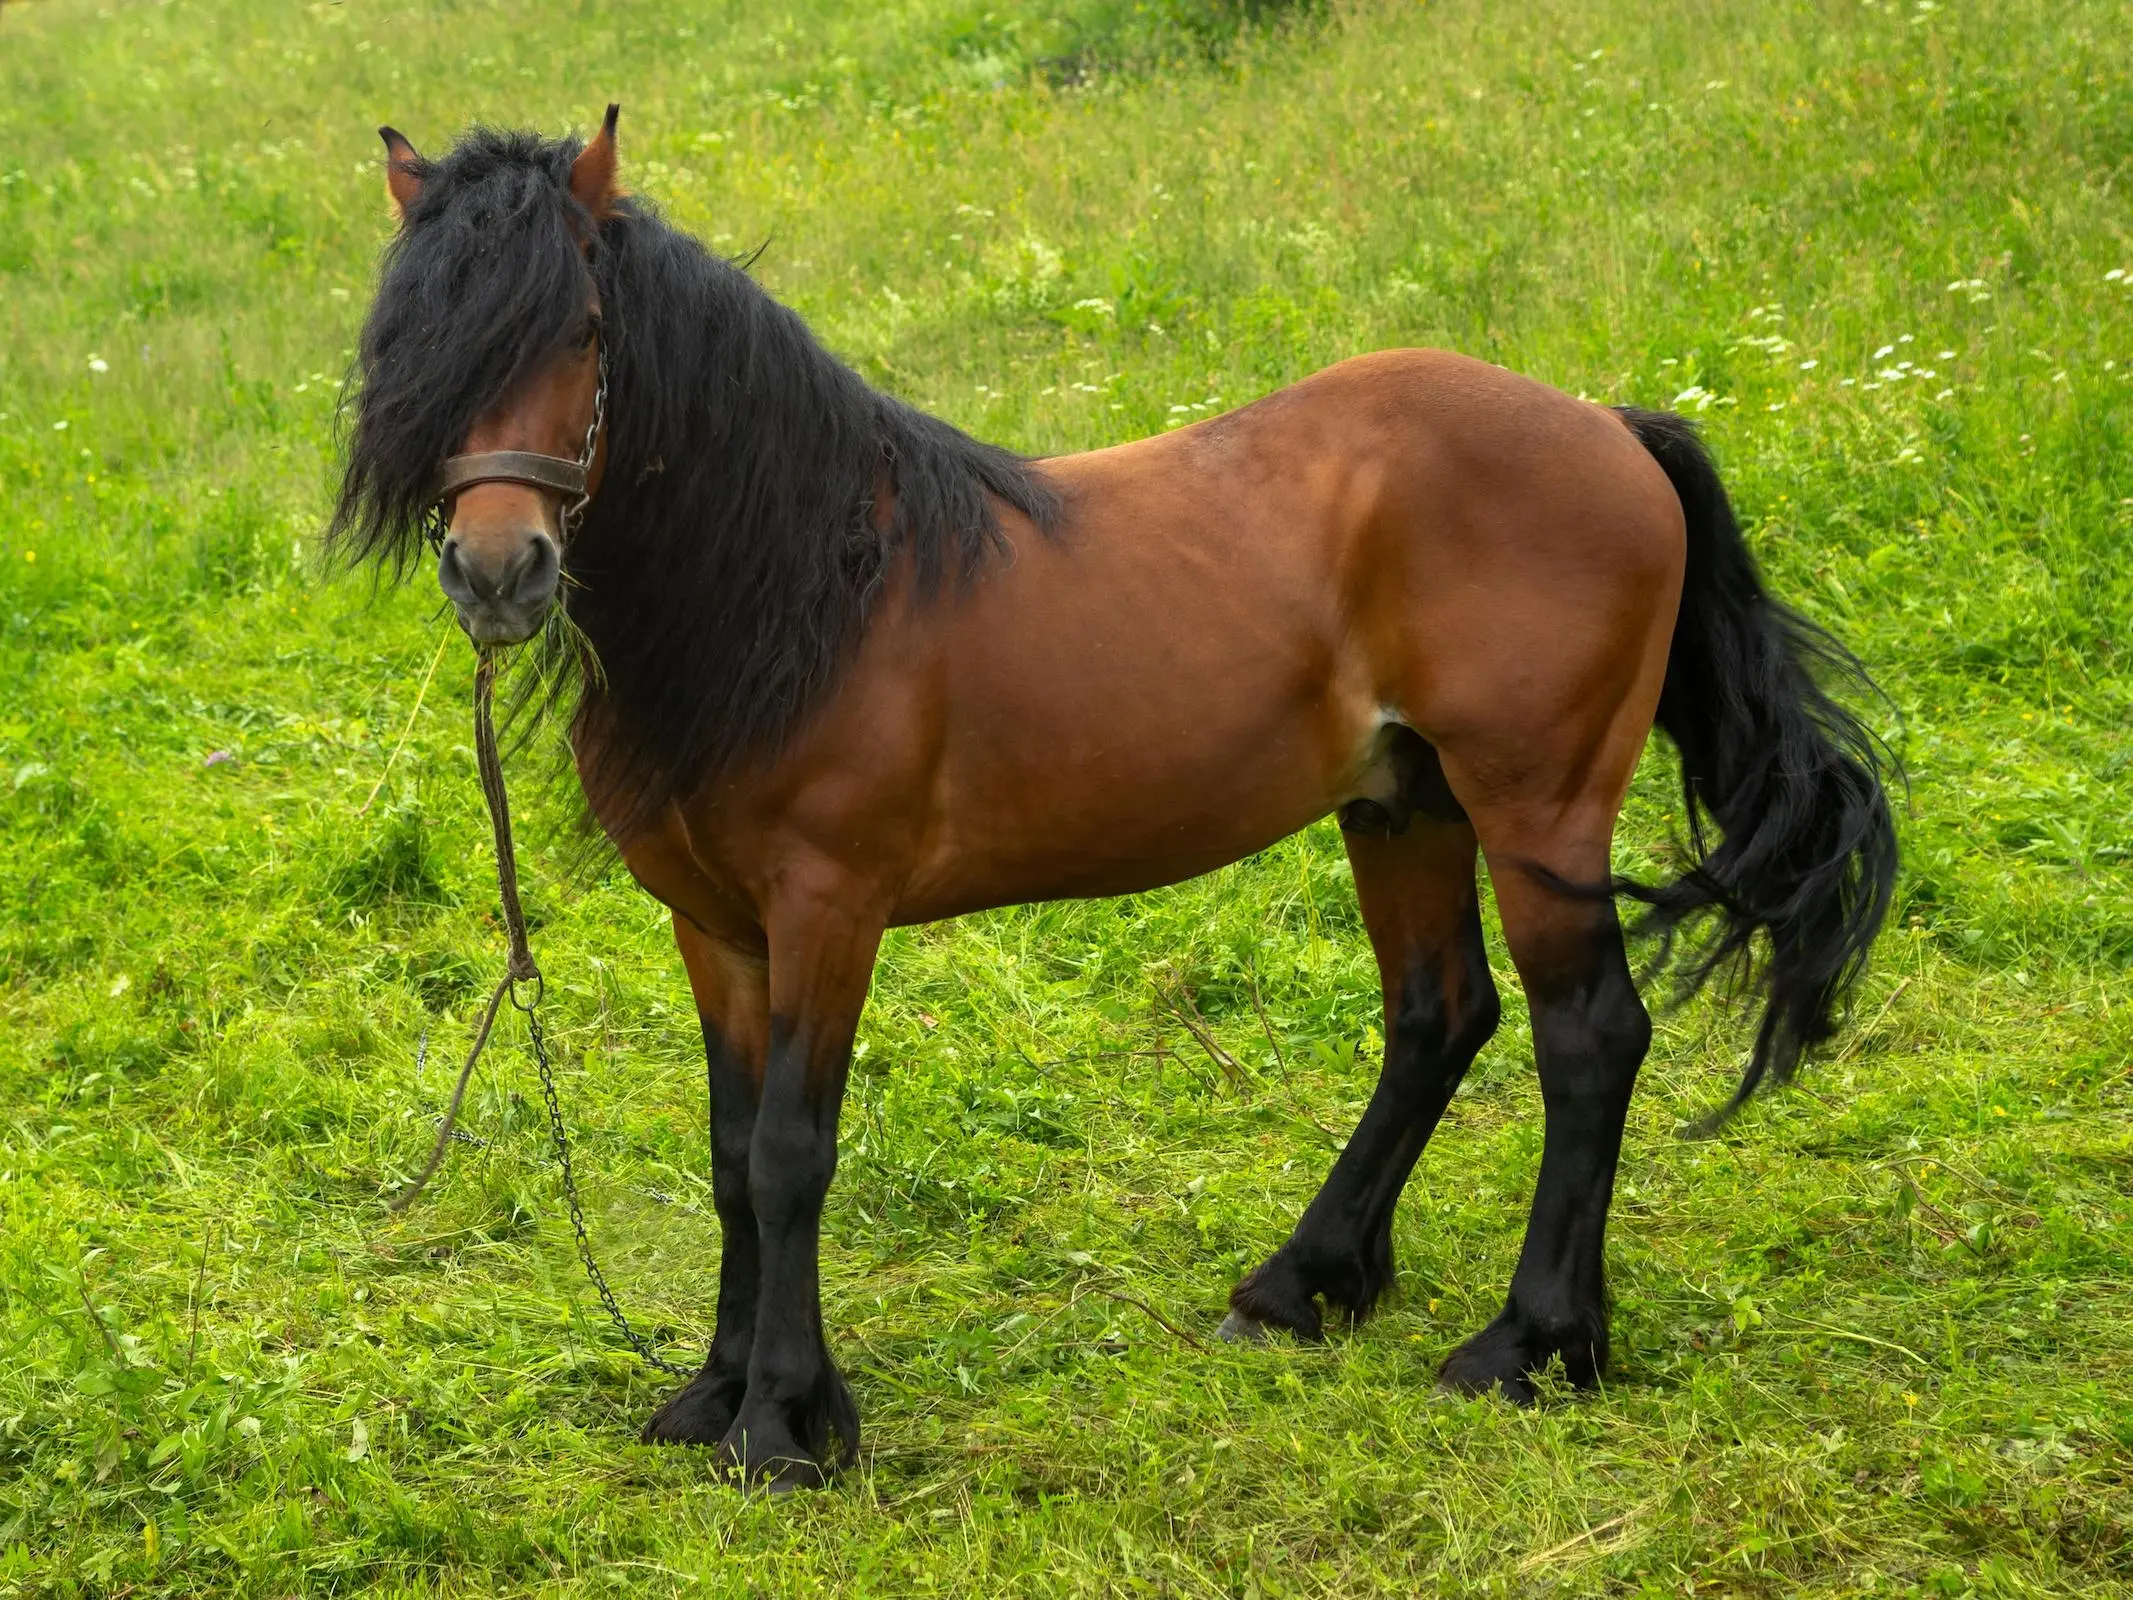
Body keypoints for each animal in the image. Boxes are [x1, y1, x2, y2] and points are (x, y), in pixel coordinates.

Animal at [332, 109, 1902, 1493]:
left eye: (586, 333)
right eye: (412, 343)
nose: (498, 571)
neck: (807, 588)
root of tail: (1610, 428)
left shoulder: (831, 910)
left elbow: (789, 1155)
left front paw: (784, 1426)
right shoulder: (715, 929)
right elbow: (727, 1156)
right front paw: (713, 1393)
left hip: (1540, 812)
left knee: (1590, 1039)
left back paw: (1530, 1346)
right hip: (1404, 804)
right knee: (1438, 1017)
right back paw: (1299, 1287)